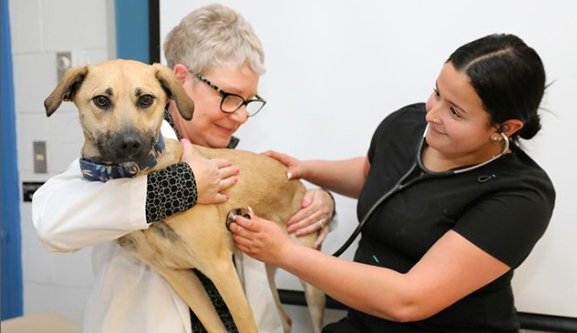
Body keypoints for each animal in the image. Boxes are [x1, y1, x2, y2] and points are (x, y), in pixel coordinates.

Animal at [44, 59, 324, 332]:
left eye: (146, 99)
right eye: (101, 100)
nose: (130, 144)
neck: (140, 174)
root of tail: (296, 181)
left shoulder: (220, 267)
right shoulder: (179, 274)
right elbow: (214, 326)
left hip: (311, 281)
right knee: (286, 319)